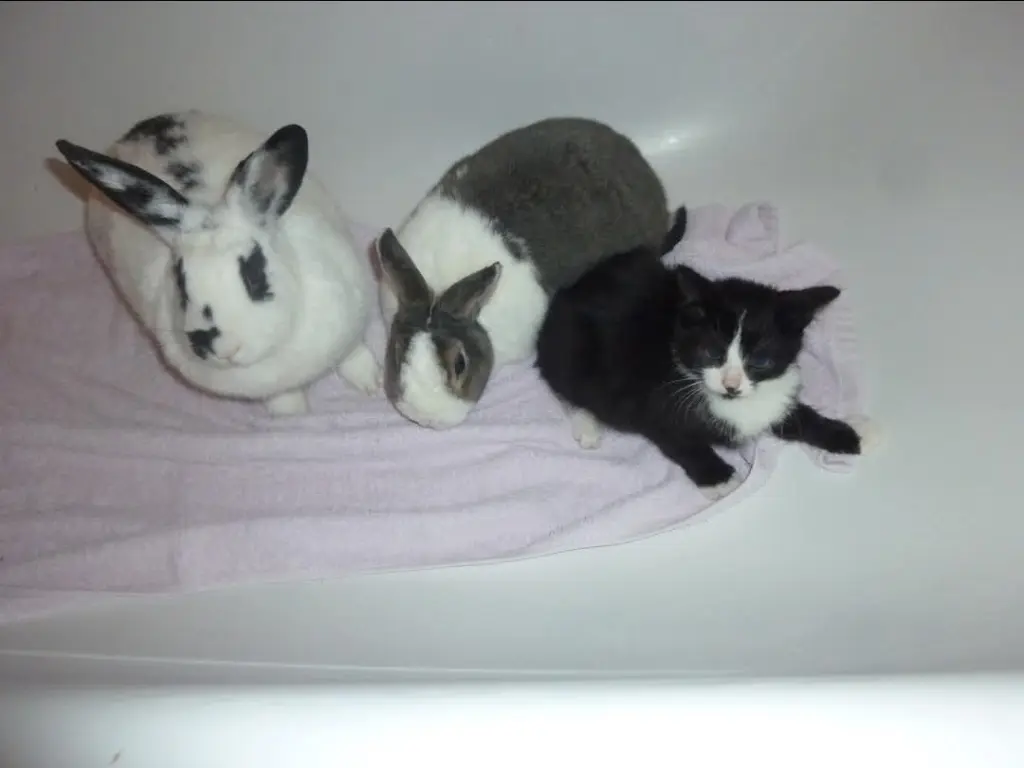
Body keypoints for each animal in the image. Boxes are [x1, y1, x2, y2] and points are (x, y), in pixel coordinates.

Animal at [54, 110, 381, 417]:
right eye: (180, 284)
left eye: (254, 276)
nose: (223, 348)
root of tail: (131, 133)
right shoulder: (274, 389)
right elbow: (285, 398)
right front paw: (293, 419)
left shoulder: (350, 327)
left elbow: (354, 355)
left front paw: (372, 384)